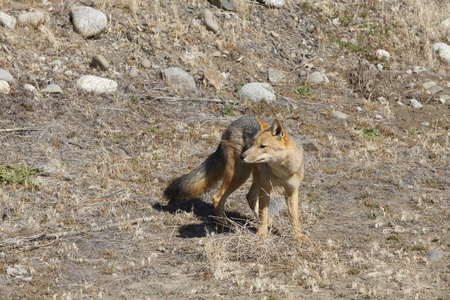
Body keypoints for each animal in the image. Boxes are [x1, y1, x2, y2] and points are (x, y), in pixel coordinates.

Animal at [163, 116, 308, 243]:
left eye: (262, 146)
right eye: (253, 144)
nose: (242, 156)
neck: (282, 172)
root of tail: (232, 124)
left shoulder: (291, 191)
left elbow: (295, 217)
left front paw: (298, 236)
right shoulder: (266, 187)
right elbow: (263, 211)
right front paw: (261, 233)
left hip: (253, 177)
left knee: (250, 197)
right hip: (240, 176)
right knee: (217, 198)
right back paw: (227, 223)